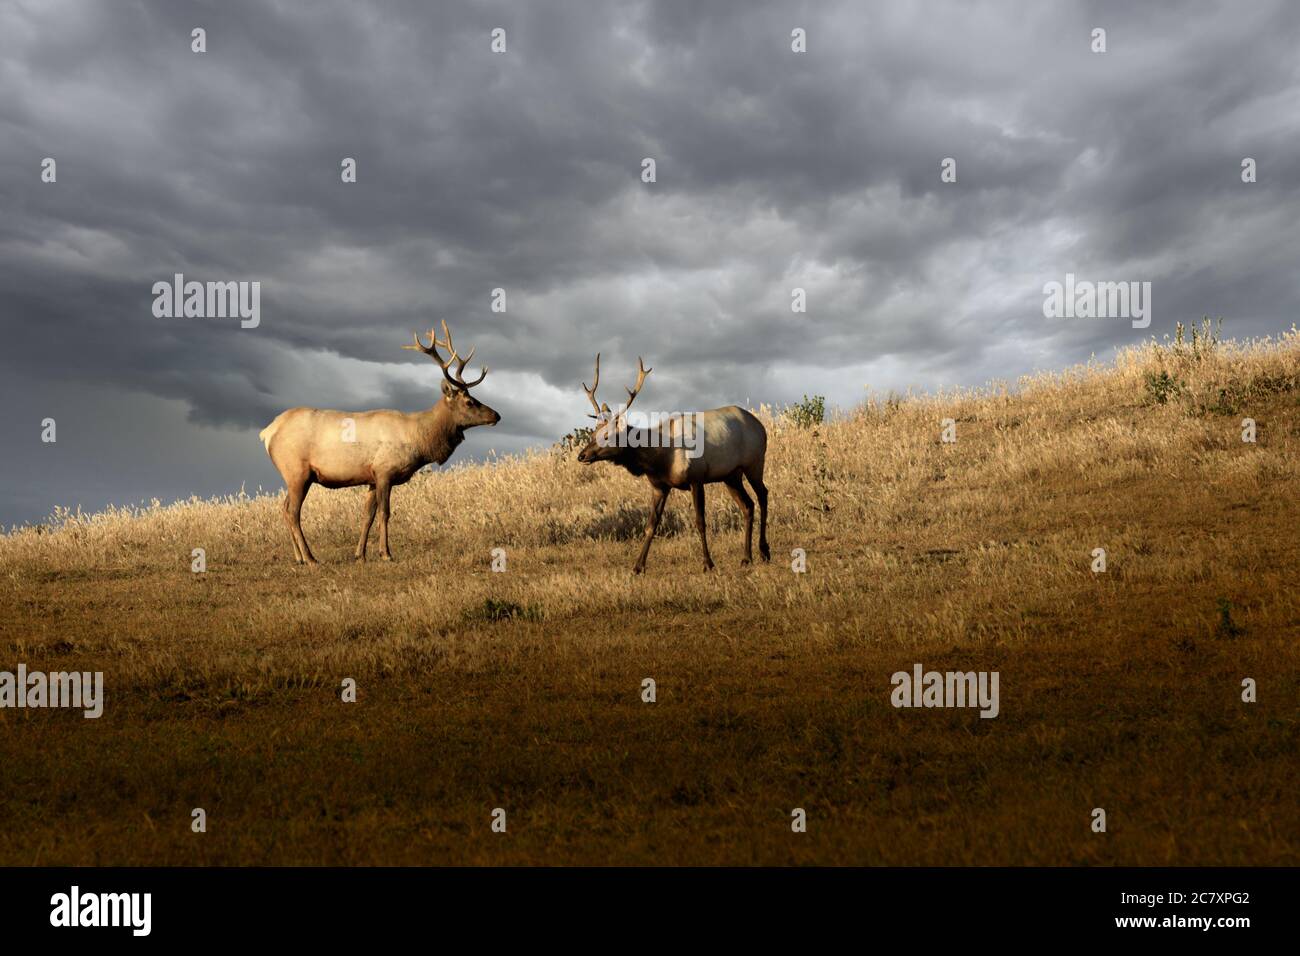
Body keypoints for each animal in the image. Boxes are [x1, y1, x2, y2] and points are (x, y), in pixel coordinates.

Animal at [258, 317, 496, 564]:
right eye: (469, 402)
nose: (496, 415)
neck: (418, 440)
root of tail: (267, 432)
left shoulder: (371, 476)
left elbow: (367, 516)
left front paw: (360, 555)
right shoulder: (384, 471)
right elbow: (385, 513)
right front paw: (386, 553)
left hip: (295, 475)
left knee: (284, 508)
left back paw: (299, 557)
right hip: (297, 471)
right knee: (293, 512)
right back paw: (310, 558)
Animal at [574, 356, 764, 572]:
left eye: (607, 436)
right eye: (592, 434)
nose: (582, 455)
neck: (660, 459)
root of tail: (760, 425)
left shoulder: (696, 478)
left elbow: (700, 521)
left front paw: (708, 563)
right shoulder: (659, 486)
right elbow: (651, 525)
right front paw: (638, 566)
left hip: (755, 462)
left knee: (763, 496)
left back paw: (764, 551)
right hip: (731, 475)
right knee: (748, 506)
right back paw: (747, 557)